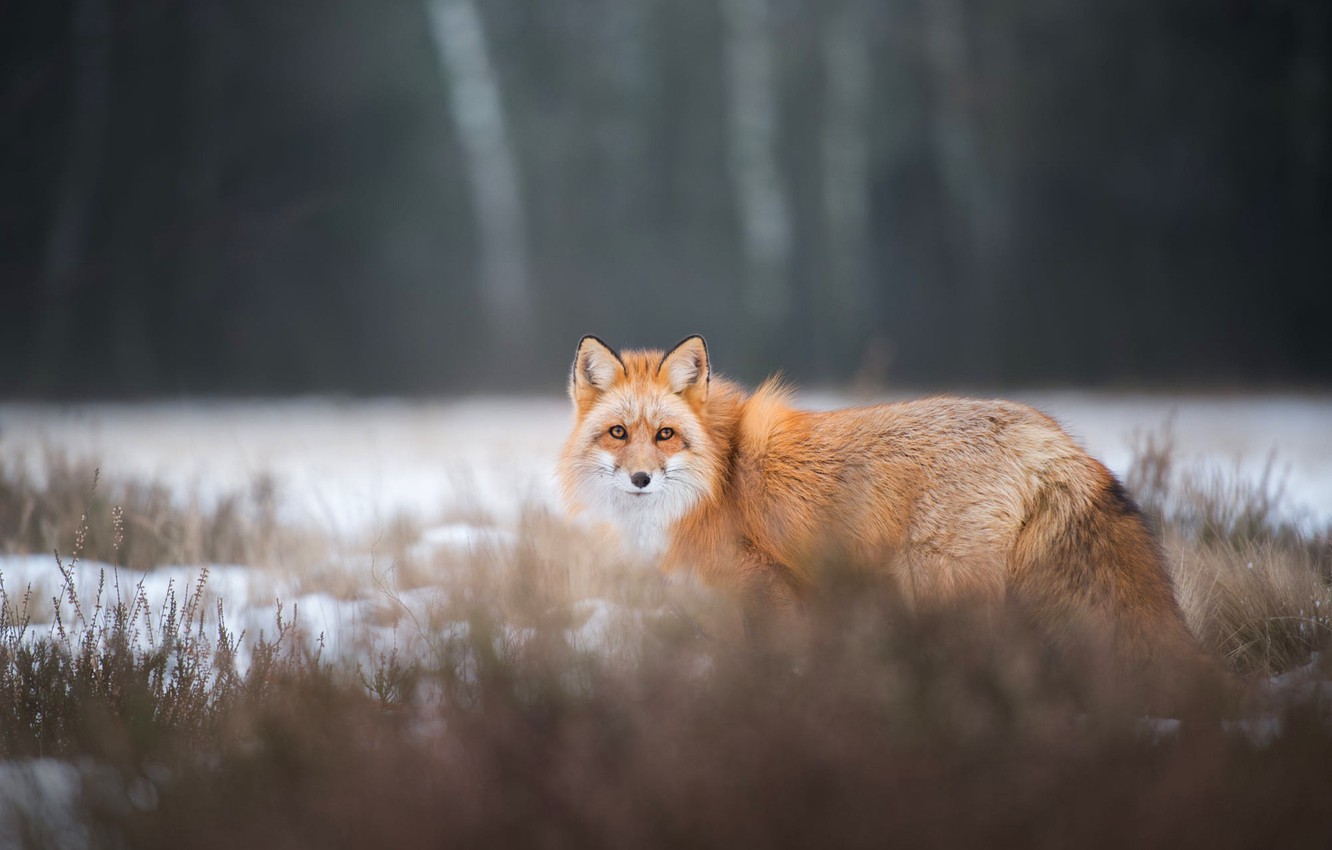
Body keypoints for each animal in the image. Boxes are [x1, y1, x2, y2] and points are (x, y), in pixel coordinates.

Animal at [556, 335, 1214, 676]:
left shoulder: (764, 583)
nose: (641, 478)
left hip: (940, 586)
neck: (721, 473)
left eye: (665, 435)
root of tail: (1049, 437)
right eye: (619, 433)